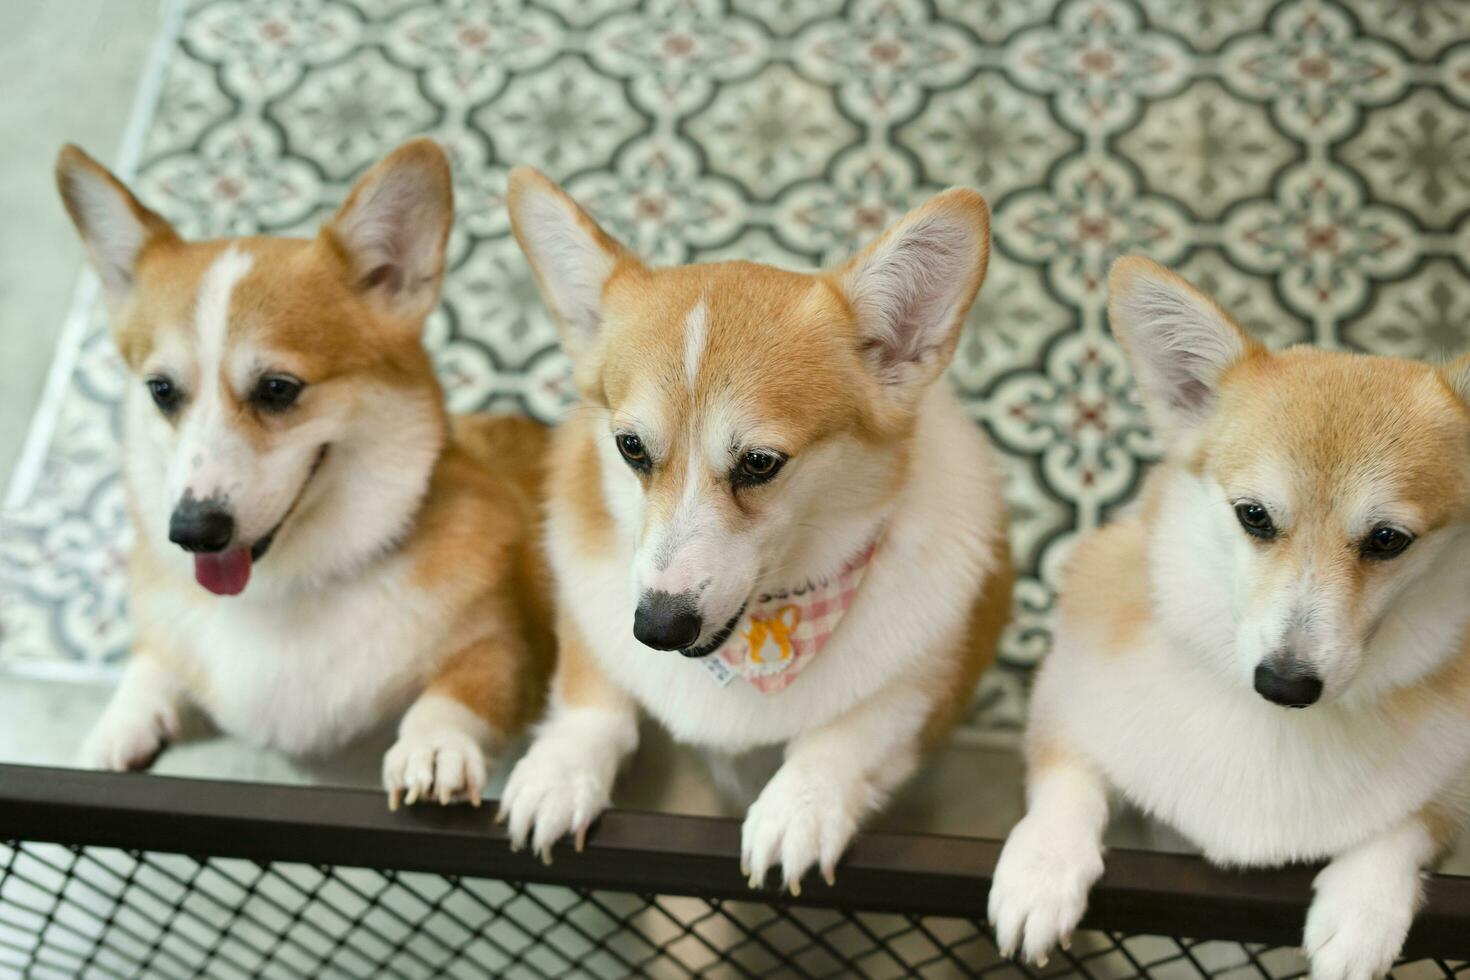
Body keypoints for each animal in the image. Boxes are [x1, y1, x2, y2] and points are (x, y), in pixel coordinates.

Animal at [58, 141, 555, 811]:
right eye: (161, 390)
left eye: (277, 389)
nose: (192, 533)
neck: (291, 586)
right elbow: (152, 660)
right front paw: (117, 728)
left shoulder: (503, 646)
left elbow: (456, 693)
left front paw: (432, 749)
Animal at [493, 168, 1011, 887]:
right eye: (630, 447)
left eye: (761, 462)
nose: (657, 628)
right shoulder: (591, 615)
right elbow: (592, 694)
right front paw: (558, 773)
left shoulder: (919, 689)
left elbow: (851, 731)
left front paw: (799, 805)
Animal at [987, 257, 1470, 975]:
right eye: (1254, 515)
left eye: (1388, 540)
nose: (1285, 685)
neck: (1270, 730)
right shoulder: (1065, 707)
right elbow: (1068, 780)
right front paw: (1042, 871)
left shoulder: (1454, 789)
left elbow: (1407, 824)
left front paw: (1364, 911)